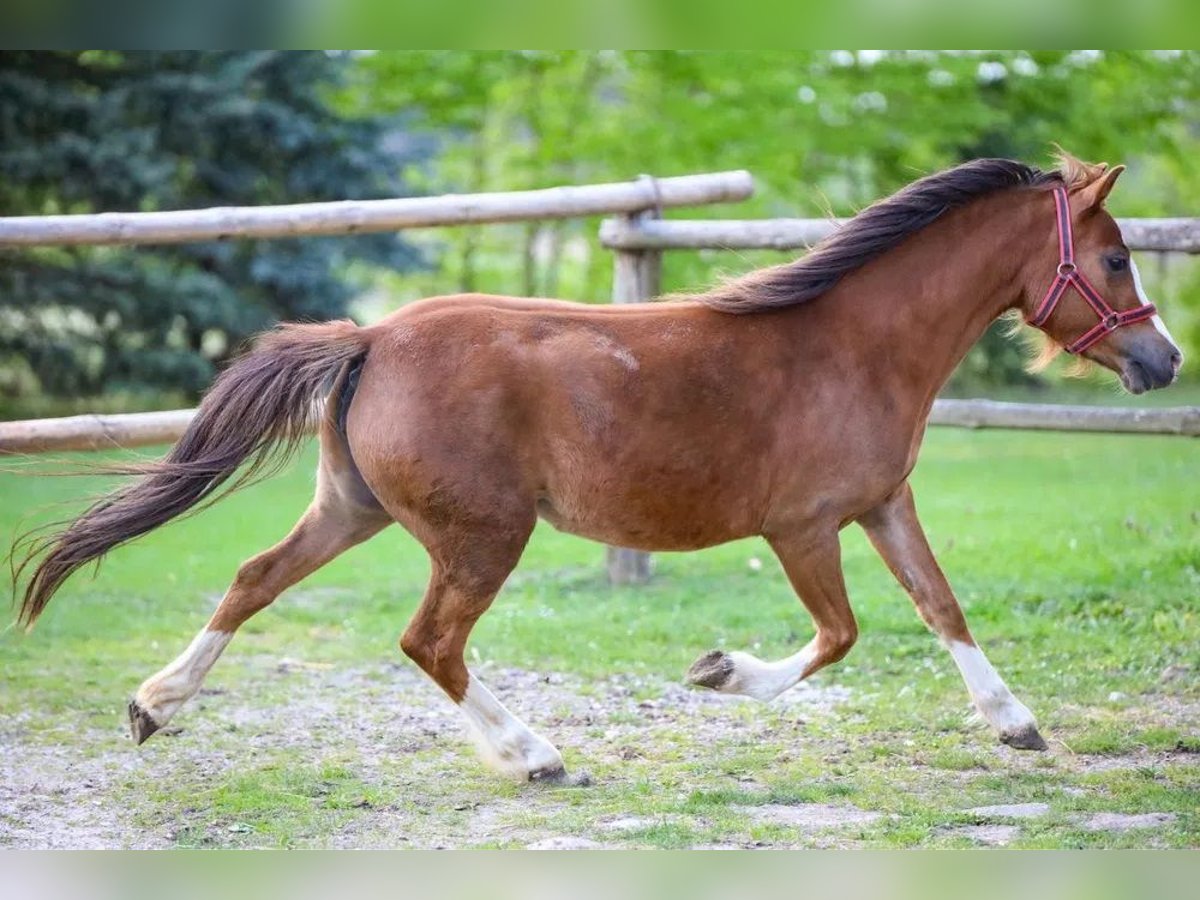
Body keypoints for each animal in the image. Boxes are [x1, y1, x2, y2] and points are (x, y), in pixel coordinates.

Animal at [16, 154, 1180, 782]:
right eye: (1118, 257)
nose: (1164, 360)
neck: (851, 345)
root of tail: (371, 339)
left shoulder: (882, 504)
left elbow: (942, 607)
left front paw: (1017, 724)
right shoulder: (803, 526)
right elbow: (840, 636)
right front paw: (720, 671)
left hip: (354, 511)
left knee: (255, 579)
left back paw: (155, 704)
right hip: (483, 534)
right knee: (429, 642)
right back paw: (534, 754)